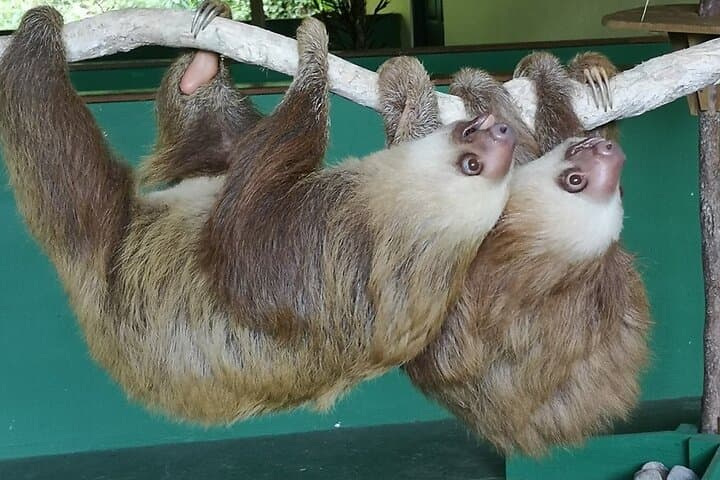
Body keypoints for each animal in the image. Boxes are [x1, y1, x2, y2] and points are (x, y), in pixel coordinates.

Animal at [0, 6, 516, 424]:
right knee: (217, 146)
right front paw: (412, 91)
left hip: (103, 254)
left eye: (472, 162)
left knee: (64, 166)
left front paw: (314, 55)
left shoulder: (320, 241)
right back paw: (201, 67)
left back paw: (38, 35)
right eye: (471, 145)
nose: (498, 130)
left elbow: (241, 227)